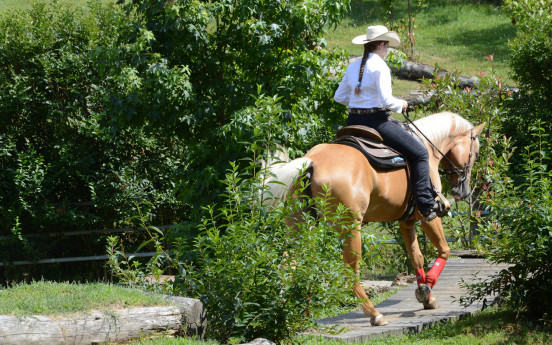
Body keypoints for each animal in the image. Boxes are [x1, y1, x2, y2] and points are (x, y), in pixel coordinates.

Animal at [264, 111, 484, 326]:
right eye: (475, 153)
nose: (462, 192)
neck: (427, 147)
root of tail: (311, 162)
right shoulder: (427, 216)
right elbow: (444, 250)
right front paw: (428, 286)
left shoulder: (407, 221)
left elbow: (417, 257)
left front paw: (426, 296)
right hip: (351, 229)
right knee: (350, 272)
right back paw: (374, 314)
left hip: (299, 230)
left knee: (289, 266)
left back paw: (289, 315)